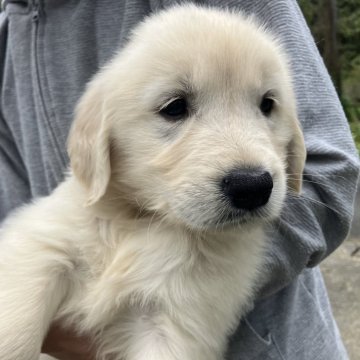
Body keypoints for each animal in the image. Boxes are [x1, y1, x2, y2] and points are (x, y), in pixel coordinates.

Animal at [0, 3, 306, 360]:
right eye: (174, 107)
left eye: (267, 104)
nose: (253, 186)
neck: (141, 221)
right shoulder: (40, 246)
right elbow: (16, 330)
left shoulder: (175, 320)